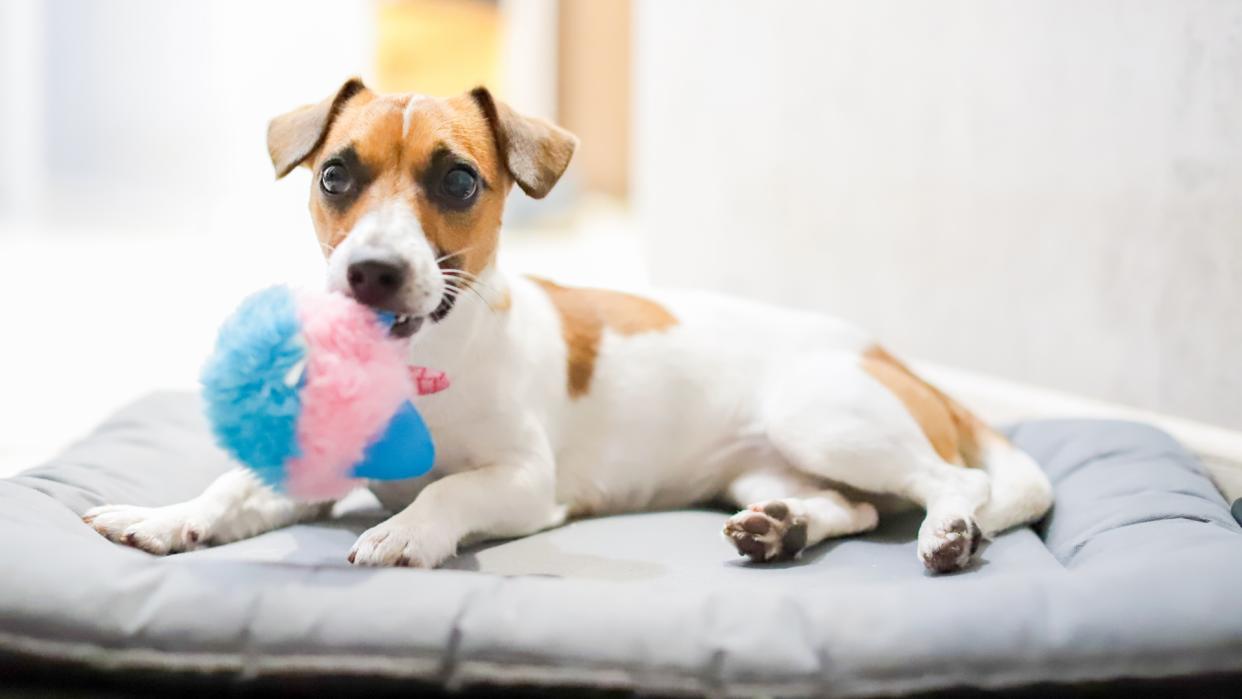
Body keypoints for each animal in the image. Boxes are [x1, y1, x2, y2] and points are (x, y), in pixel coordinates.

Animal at [85, 80, 1048, 573]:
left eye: (459, 180)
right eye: (334, 175)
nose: (372, 273)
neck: (419, 358)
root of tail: (893, 357)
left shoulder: (521, 481)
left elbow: (450, 492)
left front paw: (407, 529)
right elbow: (230, 488)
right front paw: (171, 516)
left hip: (825, 415)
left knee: (950, 482)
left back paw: (948, 531)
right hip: (771, 465)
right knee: (851, 506)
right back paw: (784, 527)